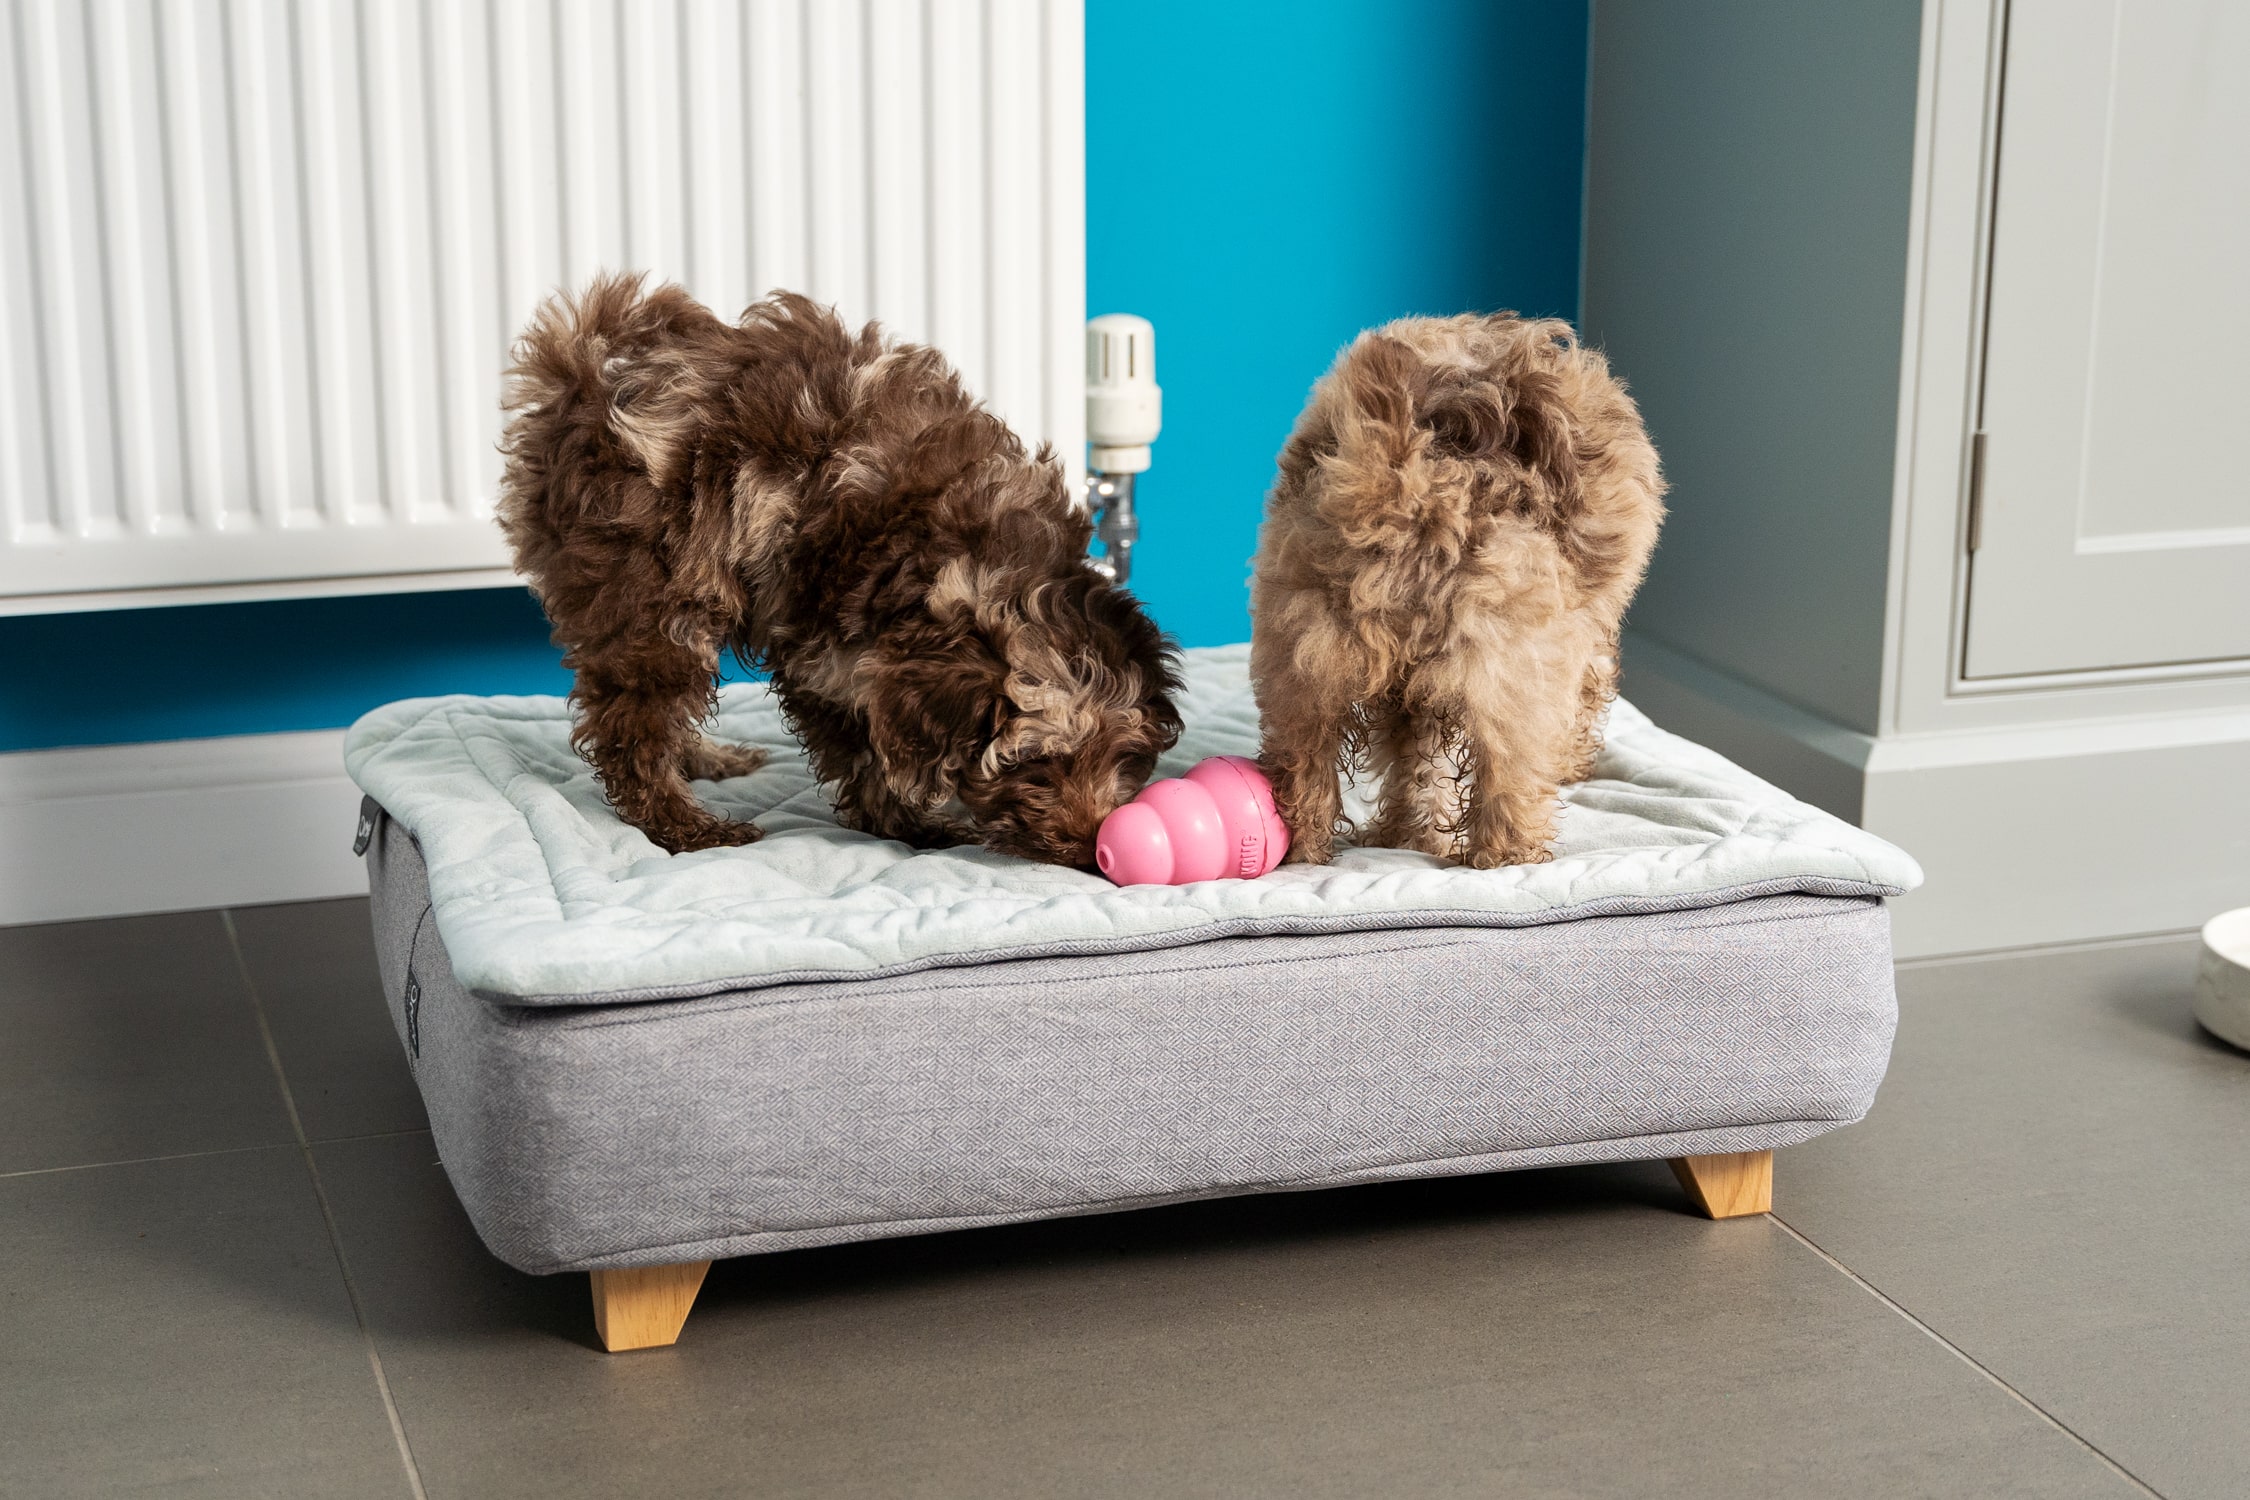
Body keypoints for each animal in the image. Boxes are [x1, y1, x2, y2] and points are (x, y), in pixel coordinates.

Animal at [499, 275, 1188, 863]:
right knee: (634, 725)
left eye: (1122, 755)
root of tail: (579, 378)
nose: (1092, 844)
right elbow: (867, 756)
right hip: (652, 589)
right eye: (1036, 765)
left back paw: (704, 759)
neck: (979, 557)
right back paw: (685, 823)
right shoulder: (826, 653)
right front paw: (910, 826)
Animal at [1251, 314, 1674, 868]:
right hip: (1509, 666)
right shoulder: (1572, 642)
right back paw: (1513, 857)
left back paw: (1312, 847)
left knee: (1304, 763)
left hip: (1303, 658)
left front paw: (1406, 832)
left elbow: (1416, 764)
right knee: (1510, 773)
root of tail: (1408, 485)